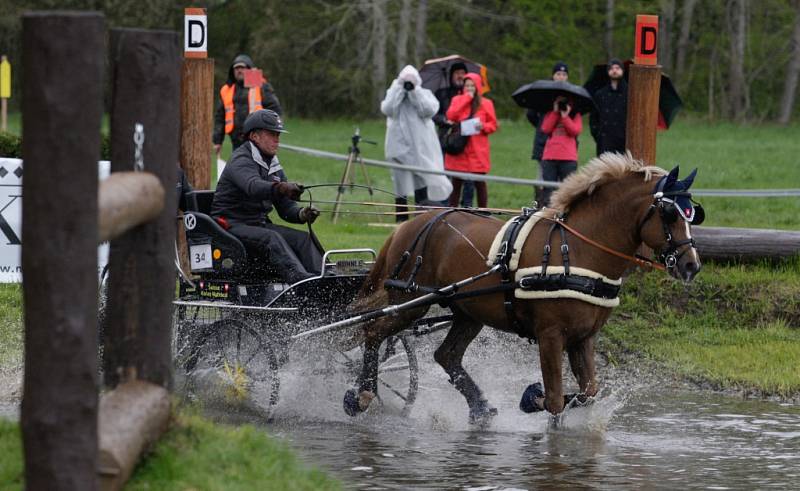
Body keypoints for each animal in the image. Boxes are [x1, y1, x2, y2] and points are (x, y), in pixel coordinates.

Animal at [344, 156, 700, 424]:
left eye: (692, 213)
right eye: (670, 213)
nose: (691, 265)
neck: (576, 251)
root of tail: (408, 224)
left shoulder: (583, 338)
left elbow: (588, 393)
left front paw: (533, 397)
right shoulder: (550, 336)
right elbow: (555, 401)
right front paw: (537, 401)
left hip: (468, 312)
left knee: (446, 355)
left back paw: (480, 407)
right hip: (411, 302)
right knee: (373, 331)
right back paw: (362, 395)